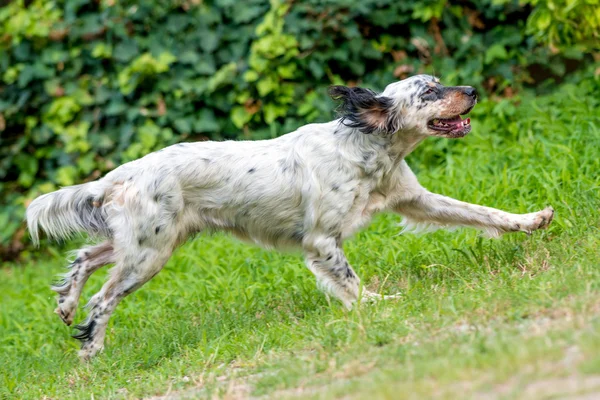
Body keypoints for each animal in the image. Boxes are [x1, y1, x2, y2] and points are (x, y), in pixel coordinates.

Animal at [27, 75, 552, 360]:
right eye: (428, 92)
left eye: (441, 82)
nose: (473, 89)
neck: (364, 145)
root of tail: (121, 174)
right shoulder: (321, 241)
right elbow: (350, 281)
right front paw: (377, 304)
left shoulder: (413, 199)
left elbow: (482, 213)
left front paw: (533, 220)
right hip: (148, 253)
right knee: (103, 299)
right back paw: (90, 348)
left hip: (143, 242)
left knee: (84, 258)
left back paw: (65, 304)